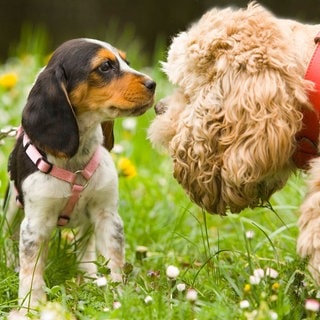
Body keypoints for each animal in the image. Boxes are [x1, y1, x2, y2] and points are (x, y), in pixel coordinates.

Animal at [3, 38, 156, 312]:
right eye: (105, 66)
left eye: (126, 61)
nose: (153, 84)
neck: (75, 162)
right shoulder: (35, 224)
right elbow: (32, 271)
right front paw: (30, 305)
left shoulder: (107, 217)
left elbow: (113, 263)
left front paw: (116, 298)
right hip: (11, 208)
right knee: (8, 238)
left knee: (86, 247)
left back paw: (89, 275)